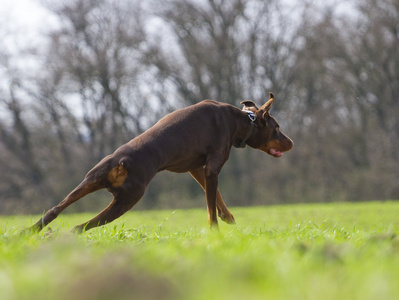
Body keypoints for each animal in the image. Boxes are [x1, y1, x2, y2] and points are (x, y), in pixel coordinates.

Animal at [25, 92, 294, 233]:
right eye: (277, 128)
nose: (291, 143)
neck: (242, 120)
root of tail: (121, 163)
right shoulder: (212, 167)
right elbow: (210, 203)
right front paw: (215, 229)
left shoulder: (196, 168)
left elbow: (214, 196)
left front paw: (227, 216)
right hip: (128, 199)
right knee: (82, 226)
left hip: (90, 180)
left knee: (55, 210)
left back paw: (29, 232)